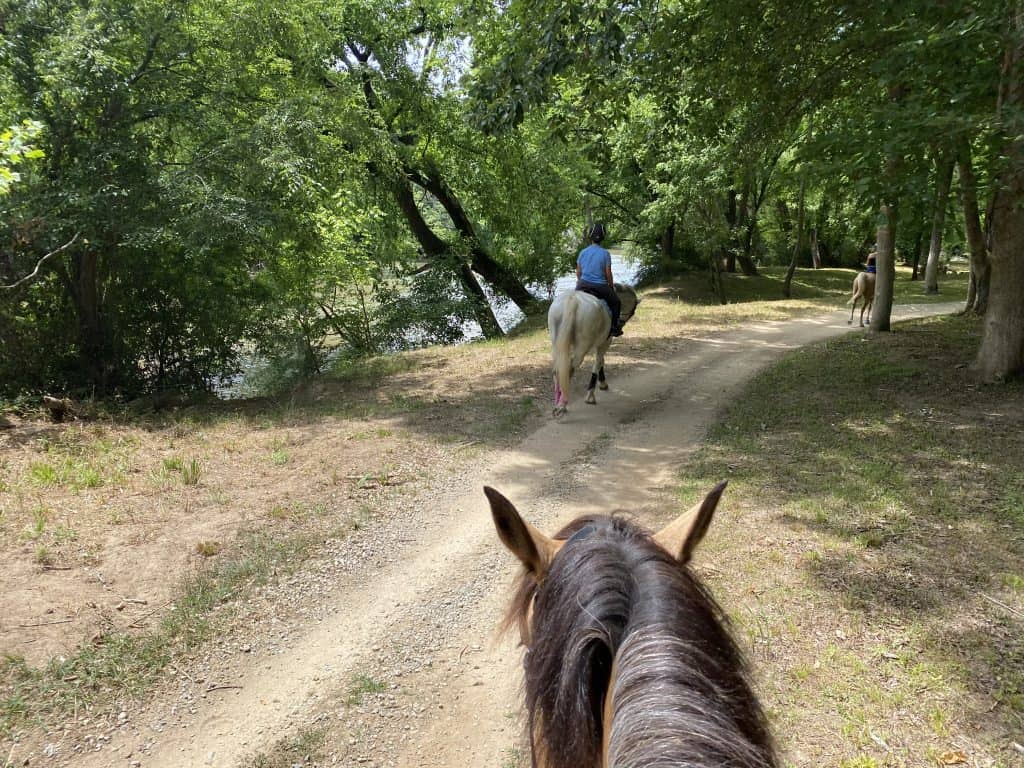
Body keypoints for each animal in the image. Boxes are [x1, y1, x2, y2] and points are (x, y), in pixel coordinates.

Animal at [548, 284, 639, 417]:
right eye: (633, 311)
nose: (621, 326)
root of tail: (573, 300)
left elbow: (600, 362)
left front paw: (602, 384)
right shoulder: (605, 342)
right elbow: (598, 362)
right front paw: (591, 395)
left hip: (556, 342)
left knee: (557, 370)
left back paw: (557, 402)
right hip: (582, 346)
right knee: (570, 369)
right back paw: (562, 404)